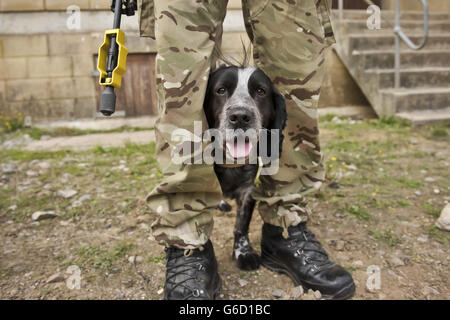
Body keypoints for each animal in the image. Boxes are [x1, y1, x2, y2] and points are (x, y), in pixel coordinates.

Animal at [205, 66, 288, 272]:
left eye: (261, 91)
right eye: (220, 90)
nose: (240, 117)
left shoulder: (248, 190)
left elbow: (241, 225)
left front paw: (243, 252)